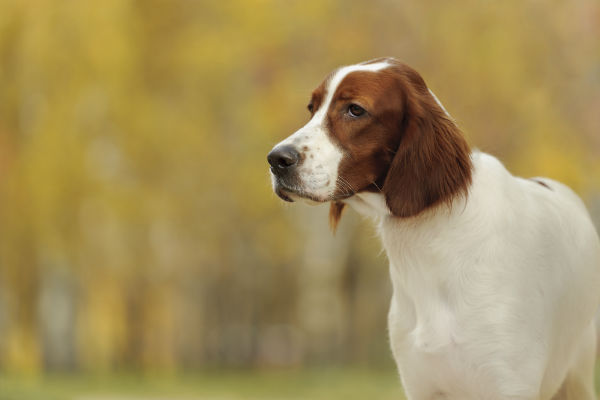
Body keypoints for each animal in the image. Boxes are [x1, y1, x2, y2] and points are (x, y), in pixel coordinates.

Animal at [268, 57, 600, 398]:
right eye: (312, 108)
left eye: (355, 110)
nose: (276, 159)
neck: (432, 243)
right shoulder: (421, 384)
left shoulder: (509, 383)